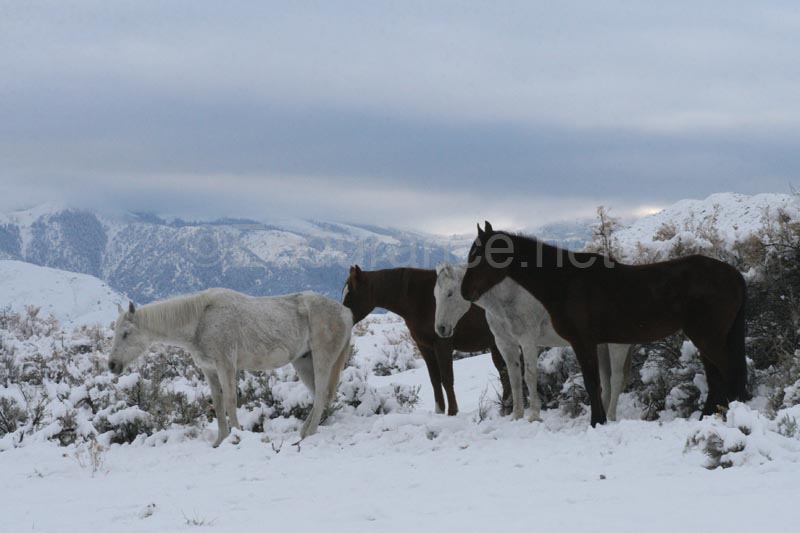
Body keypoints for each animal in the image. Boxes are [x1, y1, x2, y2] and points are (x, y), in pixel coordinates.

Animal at [108, 286, 352, 444]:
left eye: (126, 333)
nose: (112, 365)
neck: (201, 319)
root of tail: (346, 312)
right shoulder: (209, 369)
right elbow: (217, 402)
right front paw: (221, 439)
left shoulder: (226, 365)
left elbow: (230, 401)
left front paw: (236, 435)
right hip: (303, 363)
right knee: (319, 396)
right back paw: (302, 432)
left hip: (322, 360)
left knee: (321, 396)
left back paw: (307, 435)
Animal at [340, 266, 510, 416]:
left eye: (351, 293)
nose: (343, 320)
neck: (421, 298)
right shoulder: (425, 347)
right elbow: (435, 380)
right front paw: (439, 411)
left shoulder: (442, 344)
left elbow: (446, 378)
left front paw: (452, 411)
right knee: (504, 371)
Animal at [434, 262, 636, 420]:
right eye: (435, 295)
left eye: (450, 293)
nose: (441, 329)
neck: (510, 296)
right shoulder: (505, 344)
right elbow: (514, 379)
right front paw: (517, 415)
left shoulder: (528, 341)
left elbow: (529, 377)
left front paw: (533, 416)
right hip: (601, 345)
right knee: (606, 379)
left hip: (617, 344)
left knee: (616, 378)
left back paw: (610, 415)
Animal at [460, 219, 748, 424]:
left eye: (481, 255)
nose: (465, 292)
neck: (566, 282)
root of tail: (734, 274)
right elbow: (599, 383)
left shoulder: (582, 342)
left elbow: (592, 383)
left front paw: (596, 422)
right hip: (704, 338)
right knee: (715, 376)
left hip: (707, 338)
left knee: (728, 371)